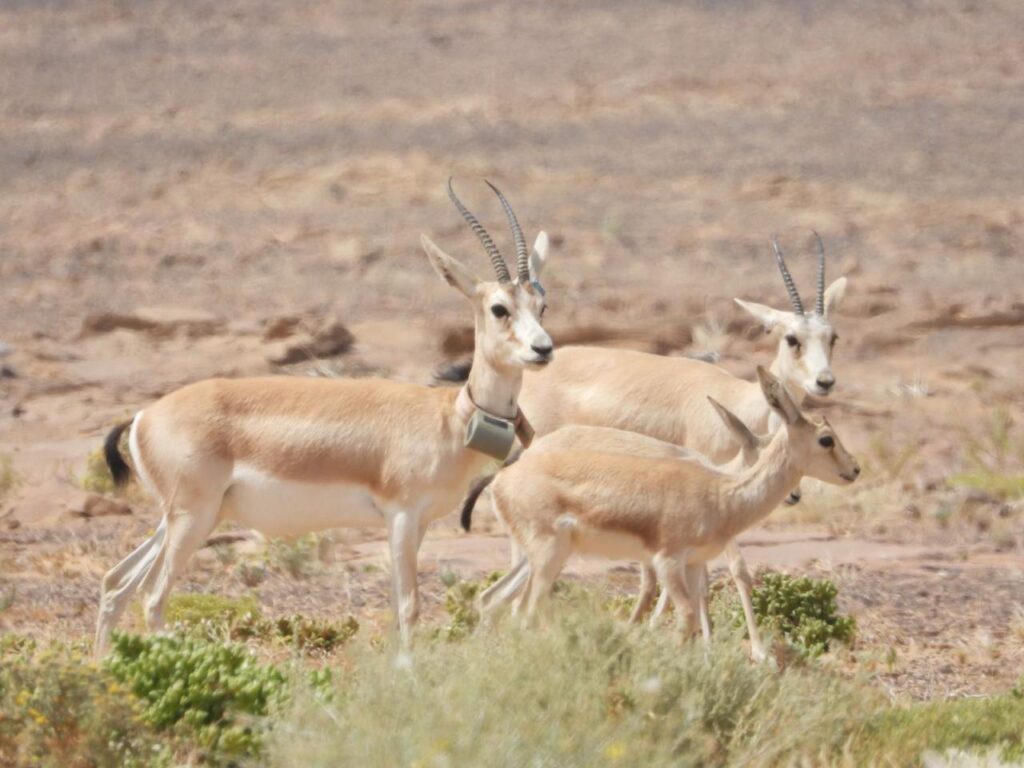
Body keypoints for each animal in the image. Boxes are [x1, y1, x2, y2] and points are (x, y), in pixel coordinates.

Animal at [93, 179, 554, 656]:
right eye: (499, 308)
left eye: (542, 305)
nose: (543, 349)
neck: (448, 419)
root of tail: (143, 416)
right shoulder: (402, 517)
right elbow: (409, 609)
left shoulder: (417, 524)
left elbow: (397, 609)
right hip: (190, 518)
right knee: (151, 597)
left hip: (188, 517)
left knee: (115, 583)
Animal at [465, 367, 859, 637]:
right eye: (826, 439)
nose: (855, 469)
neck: (719, 491)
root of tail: (504, 477)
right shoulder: (667, 562)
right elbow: (685, 616)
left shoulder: (694, 563)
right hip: (547, 558)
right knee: (523, 613)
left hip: (543, 558)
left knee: (494, 601)